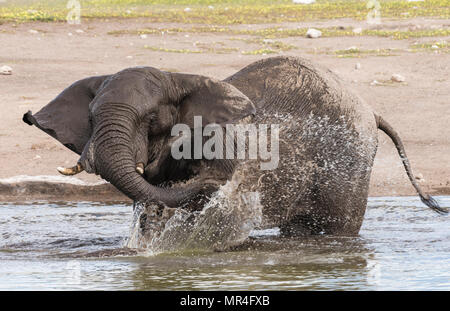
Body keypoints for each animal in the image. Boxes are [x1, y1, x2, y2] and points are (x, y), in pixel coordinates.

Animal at [22, 56, 444, 250]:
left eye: (152, 118)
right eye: (91, 117)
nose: (211, 181)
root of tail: (371, 110)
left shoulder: (222, 145)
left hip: (348, 157)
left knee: (336, 228)